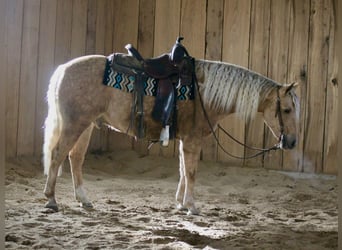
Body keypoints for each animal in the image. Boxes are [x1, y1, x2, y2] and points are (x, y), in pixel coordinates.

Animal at [42, 54, 300, 215]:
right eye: (287, 110)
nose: (291, 141)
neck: (203, 92)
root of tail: (63, 69)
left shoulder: (185, 140)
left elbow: (183, 171)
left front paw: (180, 204)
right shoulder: (193, 139)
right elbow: (192, 172)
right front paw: (192, 206)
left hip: (86, 126)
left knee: (75, 158)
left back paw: (83, 199)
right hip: (75, 124)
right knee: (57, 155)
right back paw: (51, 199)